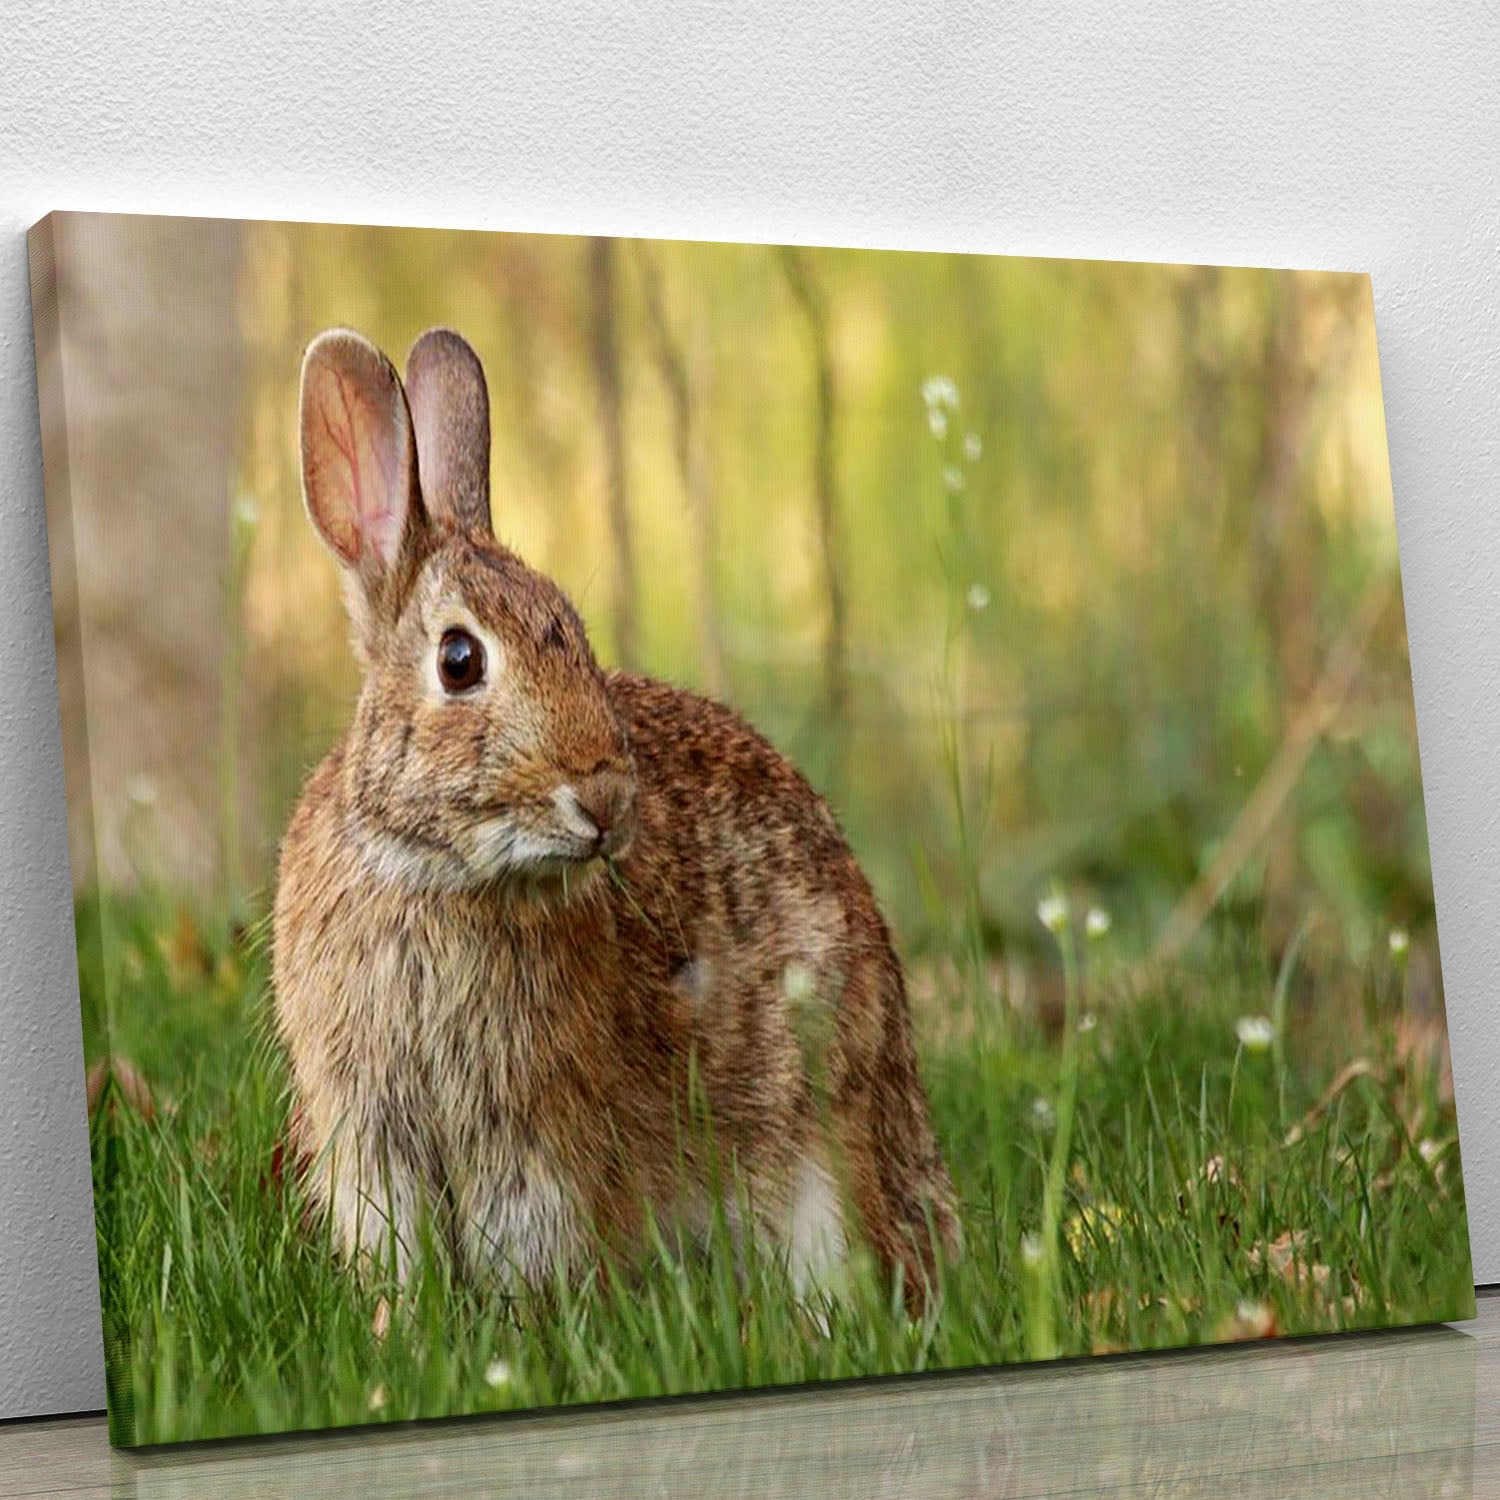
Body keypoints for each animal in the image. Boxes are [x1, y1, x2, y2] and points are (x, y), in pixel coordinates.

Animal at [273, 325, 959, 1314]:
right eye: (458, 660)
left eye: (578, 634)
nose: (604, 798)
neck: (435, 873)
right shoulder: (370, 1135)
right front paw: (398, 1326)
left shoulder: (532, 1143)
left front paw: (523, 1328)